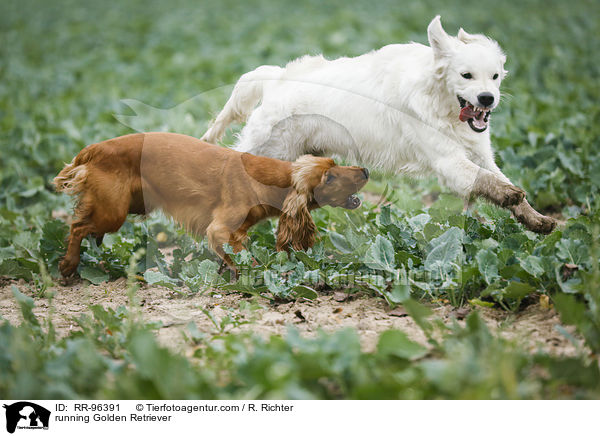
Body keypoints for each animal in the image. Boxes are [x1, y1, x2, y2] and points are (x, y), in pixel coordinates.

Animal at [54, 131, 368, 278]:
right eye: (329, 177)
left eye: (334, 163)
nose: (365, 171)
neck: (268, 178)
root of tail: (94, 148)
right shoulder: (219, 230)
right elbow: (248, 261)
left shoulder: (233, 233)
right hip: (114, 212)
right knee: (77, 226)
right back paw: (68, 265)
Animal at [204, 15, 556, 233]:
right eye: (466, 75)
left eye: (495, 76)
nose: (487, 98)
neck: (438, 103)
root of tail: (277, 78)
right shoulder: (450, 163)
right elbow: (490, 183)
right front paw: (512, 196)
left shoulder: (481, 155)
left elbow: (499, 179)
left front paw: (538, 220)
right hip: (265, 152)